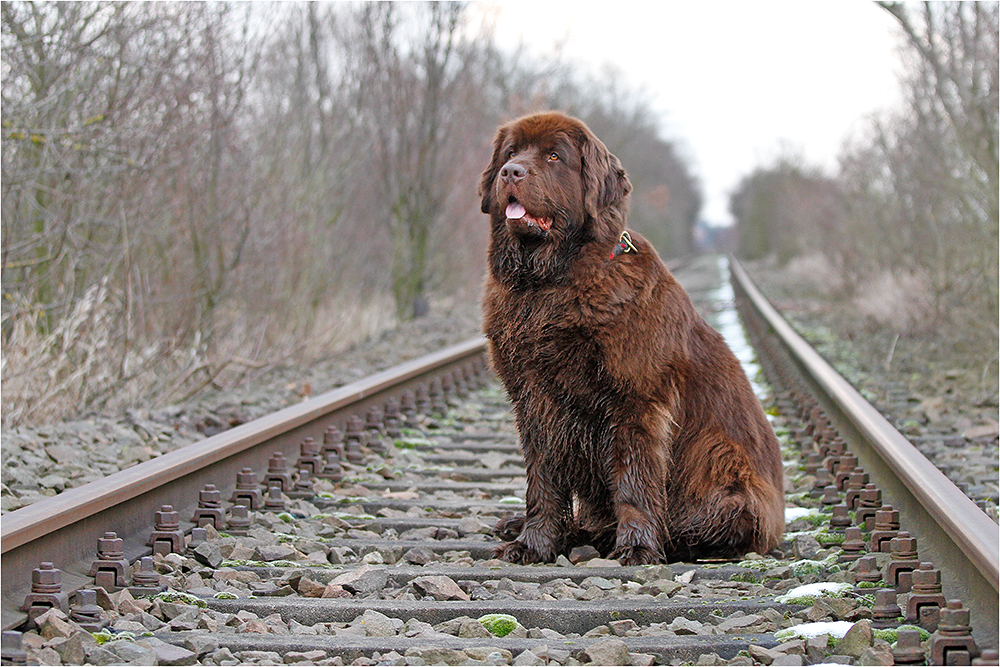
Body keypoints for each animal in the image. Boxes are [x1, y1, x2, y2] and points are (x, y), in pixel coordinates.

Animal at [480, 112, 784, 568]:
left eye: (554, 156)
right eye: (511, 152)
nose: (511, 172)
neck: (549, 284)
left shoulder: (636, 398)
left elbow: (634, 477)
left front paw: (637, 546)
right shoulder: (534, 398)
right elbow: (543, 479)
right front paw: (533, 543)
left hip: (722, 458)